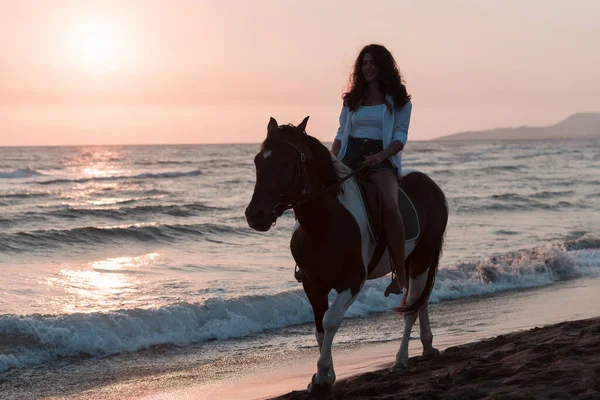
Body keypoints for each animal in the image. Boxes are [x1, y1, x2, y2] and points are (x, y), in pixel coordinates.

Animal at [246, 116, 448, 396]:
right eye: (258, 161)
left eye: (285, 162)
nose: (256, 216)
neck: (325, 223)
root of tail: (432, 186)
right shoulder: (313, 284)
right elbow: (320, 329)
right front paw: (324, 375)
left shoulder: (352, 282)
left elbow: (331, 320)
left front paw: (322, 376)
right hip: (413, 261)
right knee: (420, 302)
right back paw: (427, 347)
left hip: (422, 257)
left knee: (411, 305)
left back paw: (400, 360)